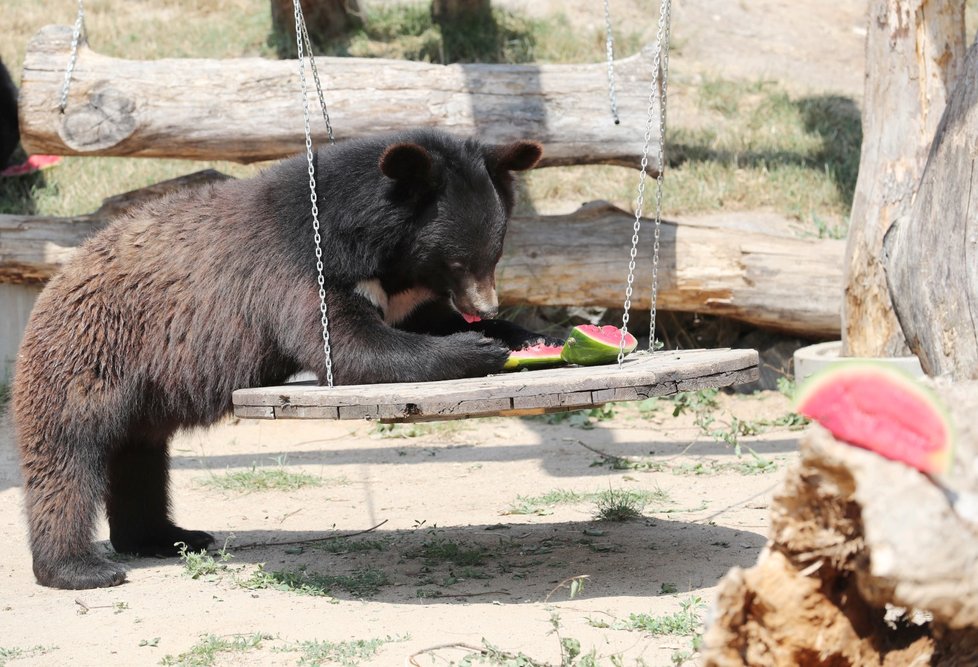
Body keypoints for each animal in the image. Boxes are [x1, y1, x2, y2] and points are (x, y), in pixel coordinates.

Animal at [13, 128, 548, 588]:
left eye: (496, 253)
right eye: (457, 260)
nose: (485, 307)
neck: (379, 251)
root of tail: (51, 287)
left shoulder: (400, 290)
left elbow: (422, 319)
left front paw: (526, 337)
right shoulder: (296, 267)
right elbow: (351, 345)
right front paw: (476, 349)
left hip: (140, 394)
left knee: (140, 461)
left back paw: (167, 537)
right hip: (90, 356)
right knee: (68, 458)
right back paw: (80, 567)